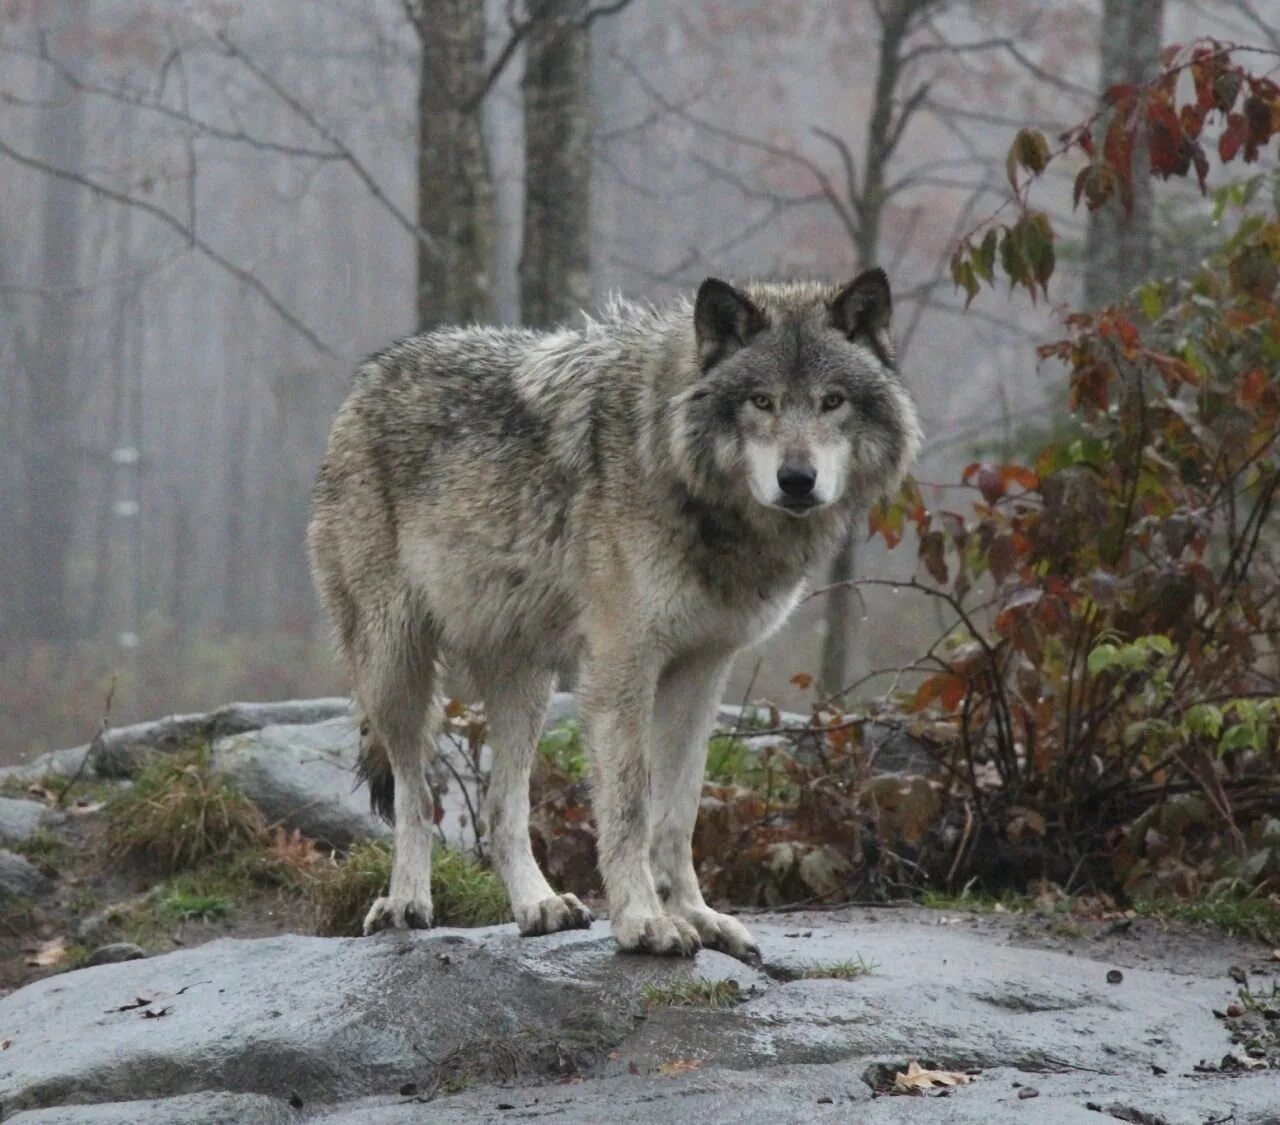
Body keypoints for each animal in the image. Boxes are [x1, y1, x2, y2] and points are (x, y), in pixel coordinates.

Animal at [308, 268, 921, 962]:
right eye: (760, 402)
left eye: (832, 401)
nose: (797, 479)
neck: (683, 478)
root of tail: (371, 373)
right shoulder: (622, 668)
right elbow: (629, 808)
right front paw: (643, 921)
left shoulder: (701, 672)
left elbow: (677, 816)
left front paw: (696, 915)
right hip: (396, 671)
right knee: (417, 795)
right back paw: (406, 903)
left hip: (526, 686)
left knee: (500, 808)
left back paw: (539, 905)